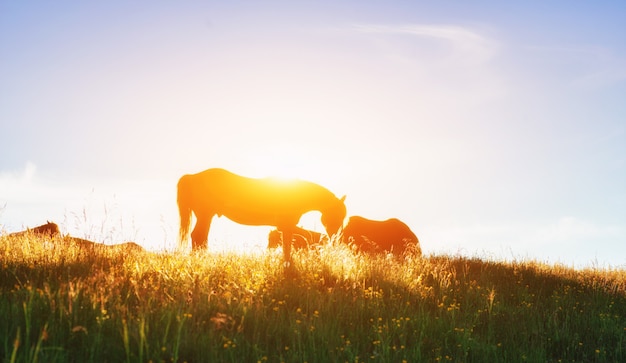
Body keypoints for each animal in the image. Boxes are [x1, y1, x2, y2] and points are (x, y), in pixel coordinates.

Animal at [177, 168, 346, 262]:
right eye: (337, 215)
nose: (335, 238)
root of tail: (192, 176)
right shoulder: (286, 225)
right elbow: (287, 246)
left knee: (200, 237)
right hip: (205, 215)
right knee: (198, 236)